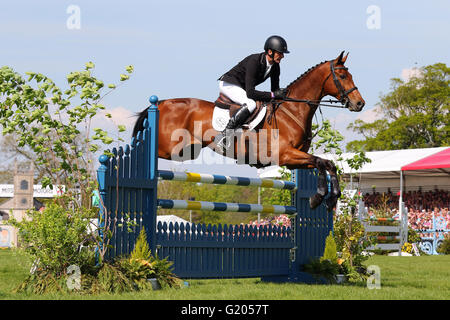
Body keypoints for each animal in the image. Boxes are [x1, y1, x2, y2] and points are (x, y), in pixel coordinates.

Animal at [132, 51, 364, 211]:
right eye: (343, 76)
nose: (359, 103)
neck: (292, 110)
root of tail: (161, 103)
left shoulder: (293, 160)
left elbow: (326, 163)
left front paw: (328, 198)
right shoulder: (285, 154)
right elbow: (322, 162)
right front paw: (321, 197)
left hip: (185, 151)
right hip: (170, 148)